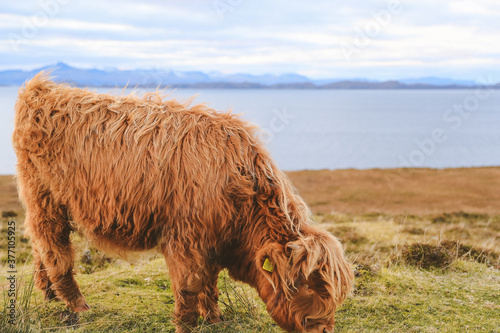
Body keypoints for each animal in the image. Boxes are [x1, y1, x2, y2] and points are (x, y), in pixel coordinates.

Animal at [12, 72, 356, 330]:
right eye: (306, 285)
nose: (324, 328)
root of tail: (42, 90)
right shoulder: (186, 239)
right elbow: (189, 286)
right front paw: (188, 325)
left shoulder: (212, 241)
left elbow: (210, 284)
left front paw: (215, 319)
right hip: (45, 198)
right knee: (55, 250)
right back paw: (78, 306)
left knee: (41, 247)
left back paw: (50, 297)